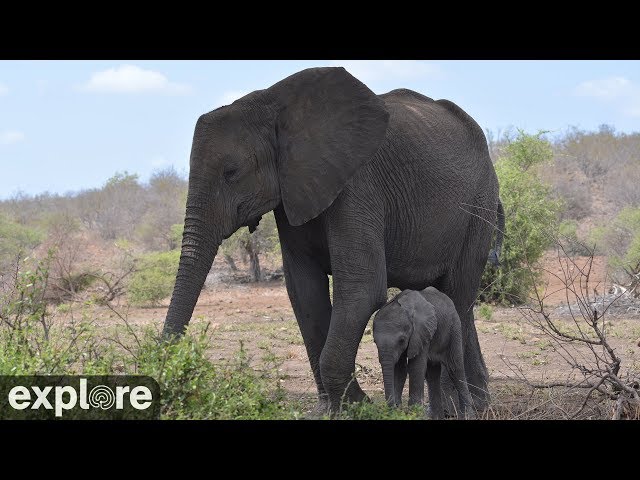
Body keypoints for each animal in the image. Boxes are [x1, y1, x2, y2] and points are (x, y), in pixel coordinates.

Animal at [376, 286, 476, 418]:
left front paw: (413, 412)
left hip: (454, 327)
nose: (392, 408)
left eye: (402, 340)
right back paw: (436, 417)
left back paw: (468, 415)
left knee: (455, 368)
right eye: (375, 341)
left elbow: (415, 367)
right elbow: (400, 368)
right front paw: (399, 410)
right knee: (432, 373)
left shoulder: (421, 332)